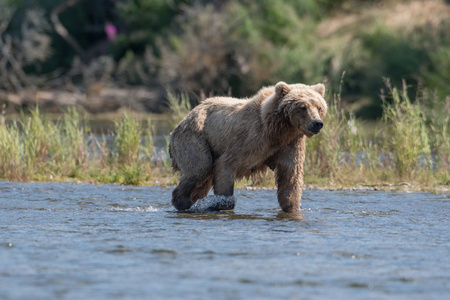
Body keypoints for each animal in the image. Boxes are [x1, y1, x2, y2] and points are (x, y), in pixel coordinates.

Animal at [169, 82, 326, 212]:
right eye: (303, 107)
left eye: (319, 107)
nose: (317, 123)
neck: (277, 131)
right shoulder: (251, 139)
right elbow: (226, 165)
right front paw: (223, 202)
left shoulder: (290, 144)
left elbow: (291, 175)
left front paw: (292, 206)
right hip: (196, 137)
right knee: (200, 167)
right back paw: (183, 201)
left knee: (202, 180)